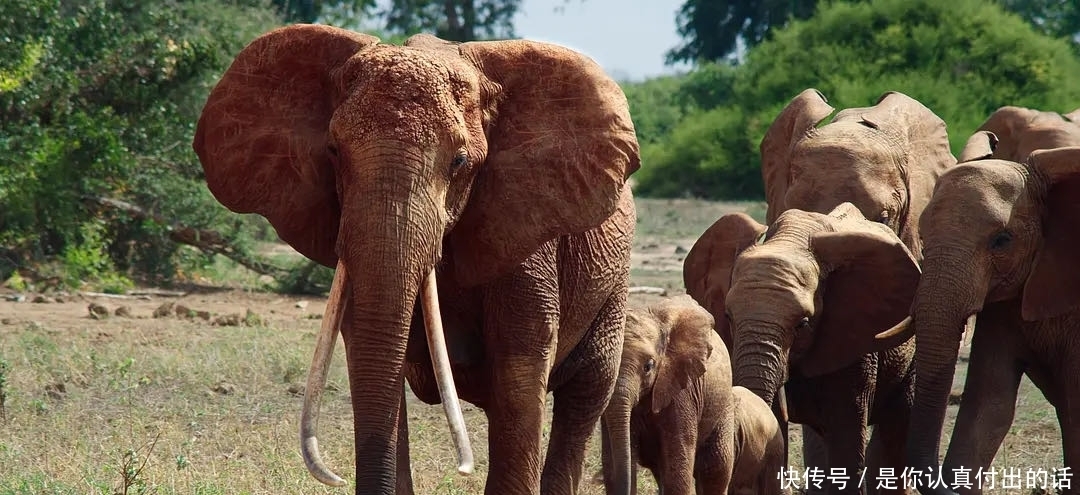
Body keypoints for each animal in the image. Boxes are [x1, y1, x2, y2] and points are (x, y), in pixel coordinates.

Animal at [192, 25, 639, 494]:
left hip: (614, 284)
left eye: (460, 161)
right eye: (333, 151)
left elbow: (521, 364)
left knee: (586, 390)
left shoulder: (529, 232)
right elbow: (367, 347)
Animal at [600, 296, 734, 492]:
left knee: (716, 469)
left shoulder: (681, 391)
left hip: (723, 407)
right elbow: (612, 462)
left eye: (648, 366)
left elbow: (677, 470)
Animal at [686, 203, 915, 492]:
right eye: (728, 316)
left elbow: (846, 431)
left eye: (803, 324)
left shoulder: (855, 341)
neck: (792, 238)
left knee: (897, 426)